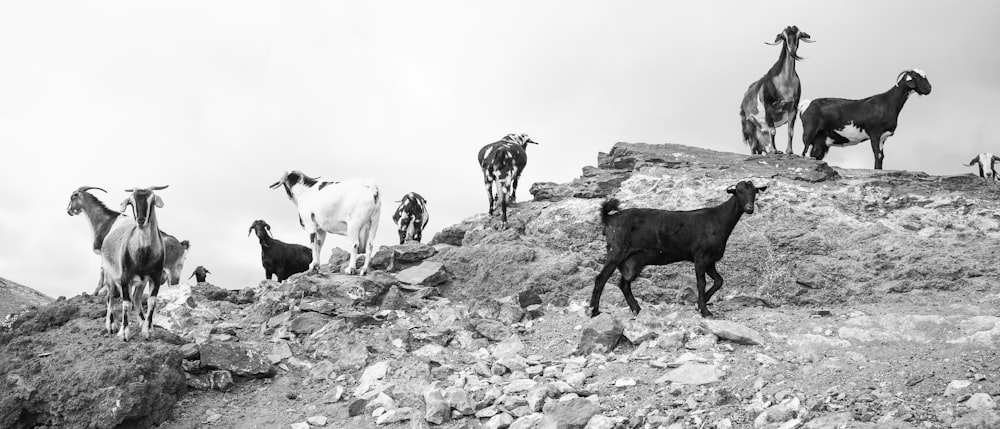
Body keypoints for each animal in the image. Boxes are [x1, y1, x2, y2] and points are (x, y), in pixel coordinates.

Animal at [100, 186, 170, 340]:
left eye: (152, 200)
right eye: (131, 202)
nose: (141, 220)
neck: (144, 254)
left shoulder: (155, 277)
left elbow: (151, 301)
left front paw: (147, 330)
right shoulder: (125, 277)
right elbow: (126, 303)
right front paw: (124, 333)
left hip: (140, 282)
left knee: (136, 298)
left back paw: (142, 321)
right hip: (110, 275)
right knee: (110, 297)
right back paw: (111, 325)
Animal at [584, 181, 764, 318]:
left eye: (754, 192)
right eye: (738, 191)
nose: (750, 208)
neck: (718, 220)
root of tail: (609, 218)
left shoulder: (710, 260)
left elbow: (719, 281)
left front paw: (700, 304)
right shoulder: (700, 257)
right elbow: (701, 283)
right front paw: (704, 310)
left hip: (633, 261)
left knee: (624, 284)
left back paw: (636, 309)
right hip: (616, 252)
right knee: (601, 279)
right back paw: (594, 311)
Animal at [740, 25, 816, 155]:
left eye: (799, 35)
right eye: (783, 37)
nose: (792, 48)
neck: (786, 81)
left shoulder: (793, 107)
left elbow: (790, 131)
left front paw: (789, 151)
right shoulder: (769, 107)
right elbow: (773, 130)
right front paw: (774, 150)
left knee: (758, 144)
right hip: (749, 123)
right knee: (753, 145)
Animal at [800, 69, 932, 168]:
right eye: (916, 77)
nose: (929, 88)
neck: (888, 102)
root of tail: (806, 104)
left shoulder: (883, 136)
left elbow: (881, 156)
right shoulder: (874, 133)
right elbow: (877, 154)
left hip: (820, 141)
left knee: (814, 154)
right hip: (809, 131)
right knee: (804, 152)